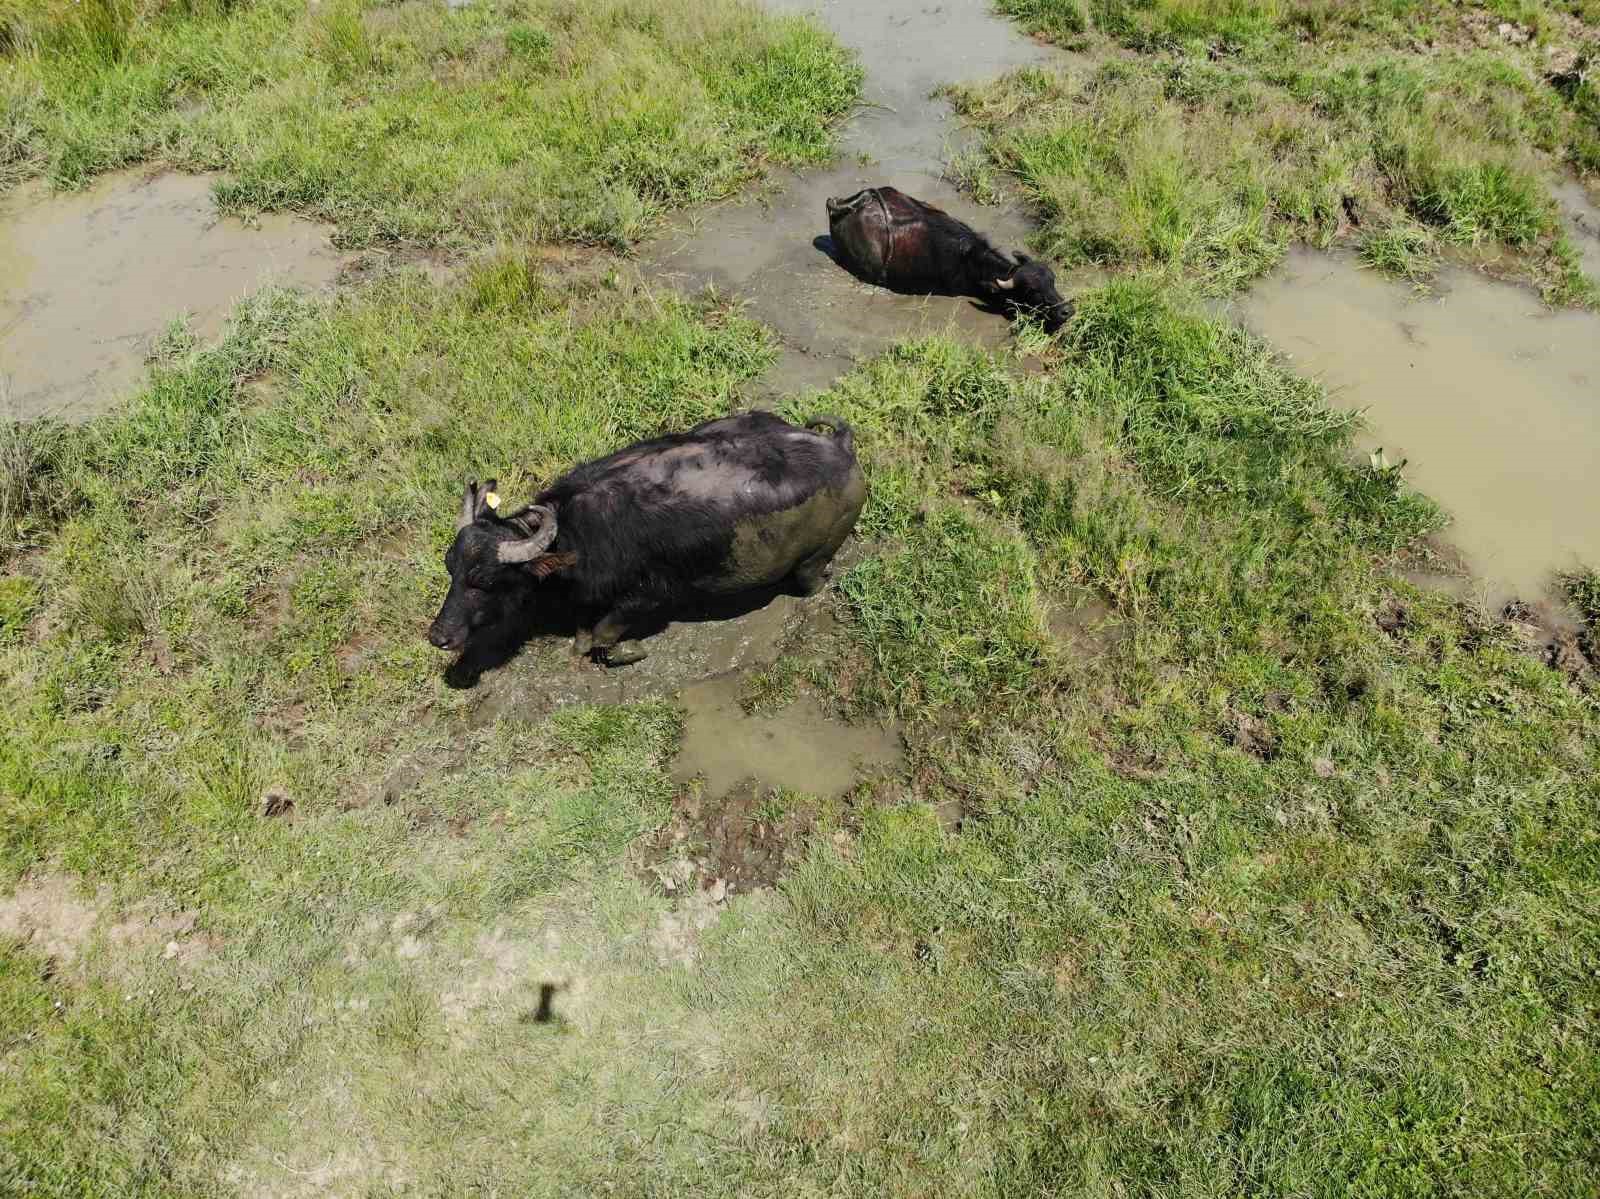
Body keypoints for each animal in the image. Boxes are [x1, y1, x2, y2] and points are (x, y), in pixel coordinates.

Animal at [428, 409, 864, 672]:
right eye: (451, 569)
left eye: (484, 581)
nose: (438, 636)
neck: (573, 534)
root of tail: (840, 448)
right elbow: (584, 633)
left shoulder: (648, 597)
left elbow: (603, 635)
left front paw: (629, 650)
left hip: (814, 559)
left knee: (810, 579)